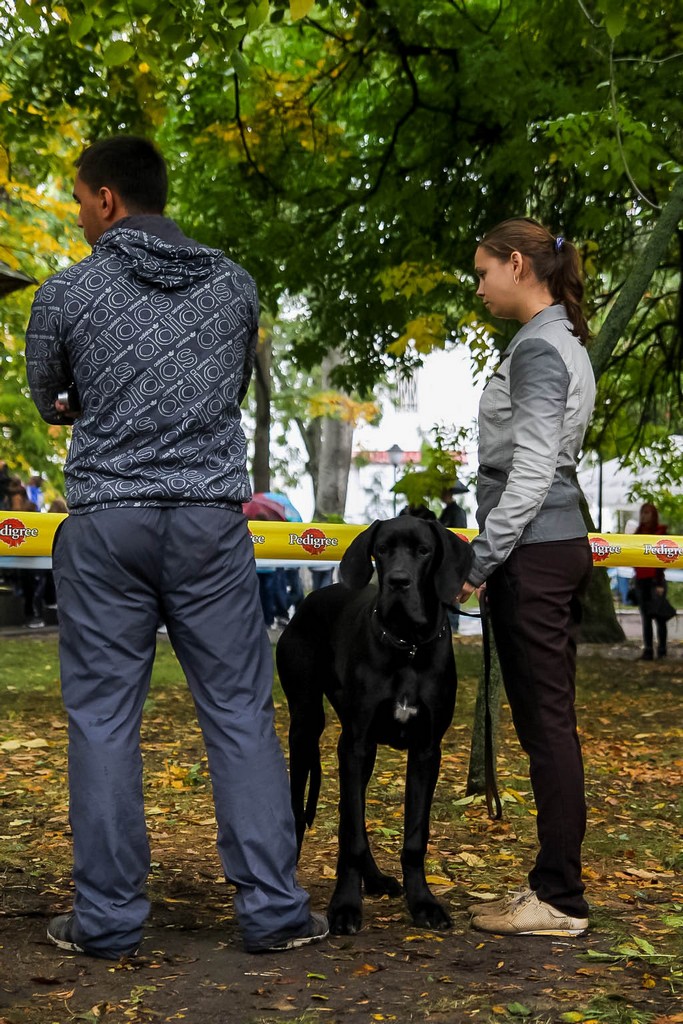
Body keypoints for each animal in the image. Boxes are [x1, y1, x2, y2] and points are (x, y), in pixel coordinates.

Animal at [274, 520, 473, 937]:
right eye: (381, 549)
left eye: (424, 551)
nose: (397, 582)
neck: (408, 646)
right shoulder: (357, 743)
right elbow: (352, 832)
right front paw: (346, 906)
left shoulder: (426, 750)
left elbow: (413, 837)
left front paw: (423, 903)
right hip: (306, 727)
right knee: (302, 806)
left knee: (349, 816)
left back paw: (376, 879)